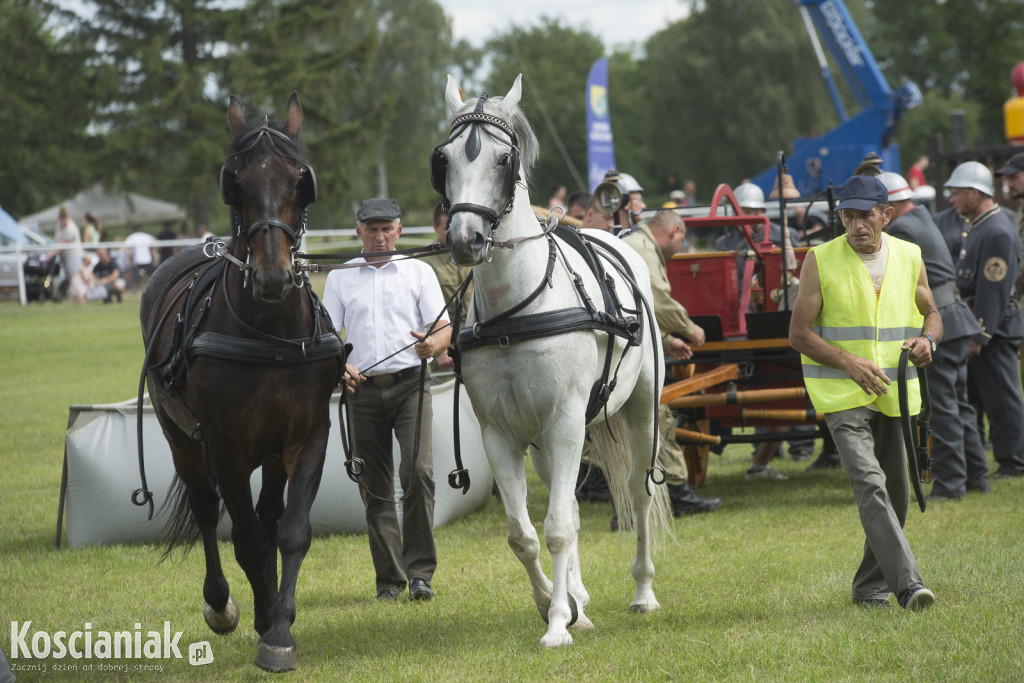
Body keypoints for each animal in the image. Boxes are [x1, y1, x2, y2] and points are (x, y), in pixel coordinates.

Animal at [138, 92, 346, 671]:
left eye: (300, 179)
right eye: (237, 181)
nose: (274, 277)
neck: (268, 330)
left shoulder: (308, 437)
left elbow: (291, 531)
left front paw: (279, 625)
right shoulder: (225, 446)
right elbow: (247, 540)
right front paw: (264, 622)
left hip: (271, 452)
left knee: (268, 515)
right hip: (183, 439)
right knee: (209, 511)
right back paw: (224, 603)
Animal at [434, 76, 667, 651]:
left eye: (503, 159)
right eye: (443, 159)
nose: (466, 239)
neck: (515, 312)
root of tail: (612, 234)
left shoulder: (564, 421)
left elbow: (558, 527)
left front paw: (558, 625)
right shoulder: (502, 433)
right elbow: (524, 534)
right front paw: (555, 605)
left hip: (636, 414)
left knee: (638, 494)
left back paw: (642, 592)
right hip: (545, 440)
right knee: (575, 508)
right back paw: (579, 598)